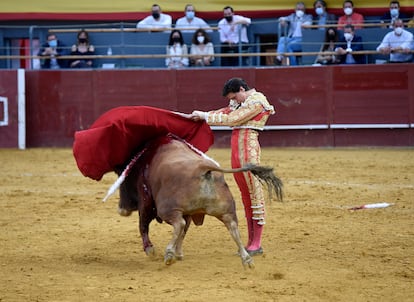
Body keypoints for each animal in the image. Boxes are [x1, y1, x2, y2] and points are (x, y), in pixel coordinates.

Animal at [111, 135, 284, 268]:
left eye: (122, 181)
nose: (121, 209)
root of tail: (203, 168)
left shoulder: (146, 202)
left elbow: (144, 225)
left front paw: (153, 251)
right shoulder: (189, 212)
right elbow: (183, 232)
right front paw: (179, 253)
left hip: (167, 209)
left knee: (178, 224)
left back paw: (168, 254)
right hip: (225, 211)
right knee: (233, 227)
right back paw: (247, 258)